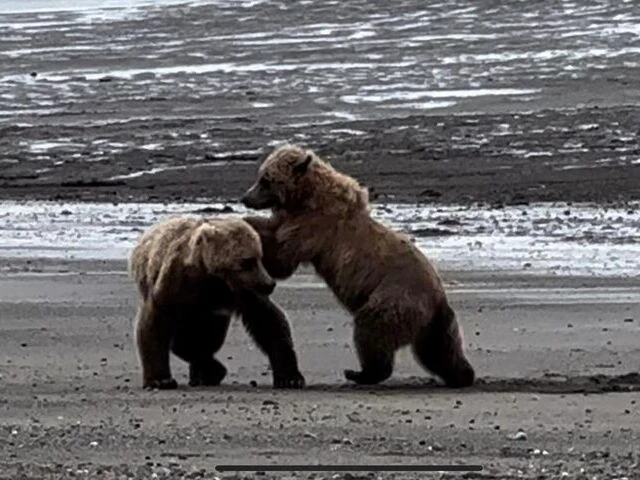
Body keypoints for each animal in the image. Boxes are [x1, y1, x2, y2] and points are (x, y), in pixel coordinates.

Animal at [129, 215, 305, 390]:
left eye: (260, 257)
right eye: (247, 261)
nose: (269, 283)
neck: (211, 280)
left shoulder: (242, 293)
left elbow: (268, 321)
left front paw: (290, 378)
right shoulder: (175, 286)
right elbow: (156, 322)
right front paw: (161, 380)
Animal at [241, 144, 475, 387]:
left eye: (266, 179)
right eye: (260, 176)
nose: (245, 198)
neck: (305, 198)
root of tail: (439, 298)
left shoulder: (313, 230)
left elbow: (281, 259)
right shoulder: (294, 220)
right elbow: (273, 232)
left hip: (395, 298)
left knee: (372, 331)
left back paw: (359, 373)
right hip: (435, 323)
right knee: (439, 351)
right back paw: (462, 375)